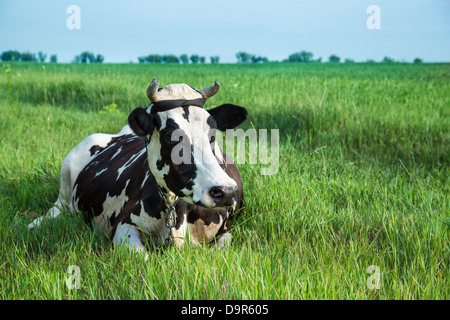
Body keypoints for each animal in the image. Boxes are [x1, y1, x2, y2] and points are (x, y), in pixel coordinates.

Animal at [29, 79, 246, 254]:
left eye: (213, 132)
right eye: (170, 136)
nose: (225, 191)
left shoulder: (225, 231)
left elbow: (220, 249)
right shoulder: (124, 225)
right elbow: (142, 256)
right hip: (65, 177)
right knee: (57, 208)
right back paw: (35, 224)